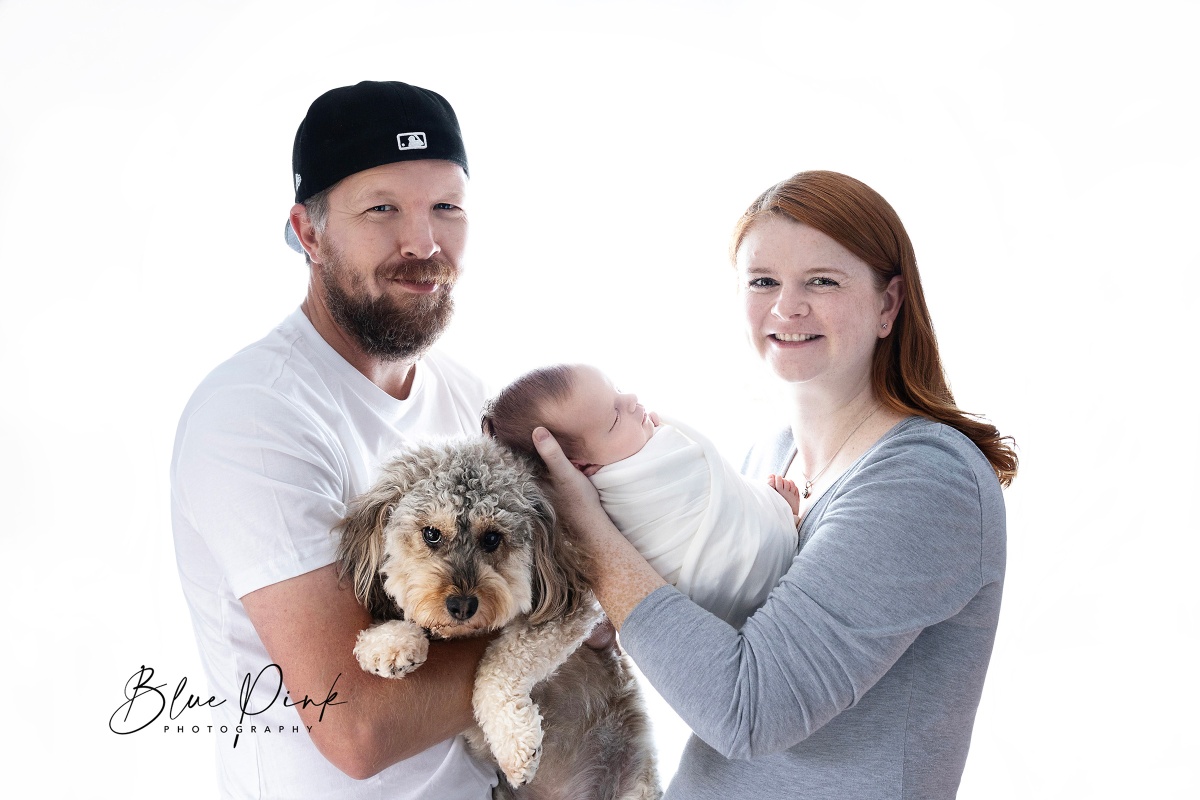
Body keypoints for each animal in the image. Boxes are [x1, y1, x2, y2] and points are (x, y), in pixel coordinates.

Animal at [333, 438, 662, 800]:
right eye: (431, 533)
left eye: (492, 538)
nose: (462, 605)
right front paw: (387, 642)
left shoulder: (575, 610)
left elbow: (501, 663)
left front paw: (515, 743)